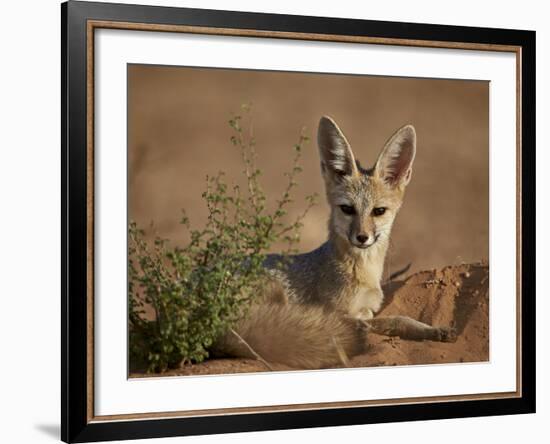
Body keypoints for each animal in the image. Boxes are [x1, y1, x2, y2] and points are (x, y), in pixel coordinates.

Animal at [211, 116, 458, 370]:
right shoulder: (341, 312)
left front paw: (433, 330)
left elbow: (398, 318)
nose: (362, 237)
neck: (363, 272)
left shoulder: (368, 308)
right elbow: (393, 320)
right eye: (347, 209)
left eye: (379, 211)